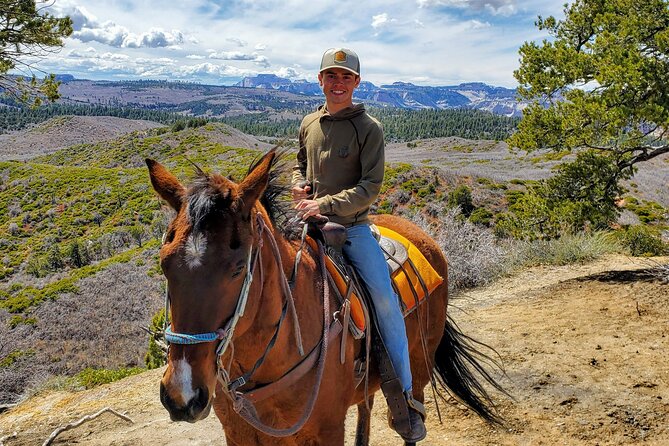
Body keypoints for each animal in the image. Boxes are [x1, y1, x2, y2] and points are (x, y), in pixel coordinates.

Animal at [146, 148, 500, 444]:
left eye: (236, 269)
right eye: (164, 264)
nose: (182, 397)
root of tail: (422, 236)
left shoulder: (326, 430)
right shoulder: (240, 435)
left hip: (419, 369)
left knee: (410, 416)